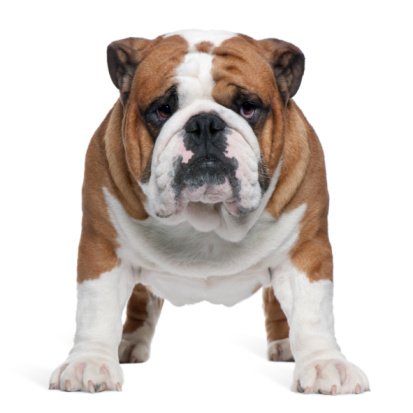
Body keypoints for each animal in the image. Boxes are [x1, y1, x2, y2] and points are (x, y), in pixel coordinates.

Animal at [49, 29, 370, 392]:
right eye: (163, 109)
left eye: (248, 108)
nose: (204, 123)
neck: (207, 217)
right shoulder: (102, 247)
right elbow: (97, 309)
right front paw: (88, 362)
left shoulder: (306, 251)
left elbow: (312, 312)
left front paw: (325, 364)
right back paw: (129, 343)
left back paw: (286, 345)